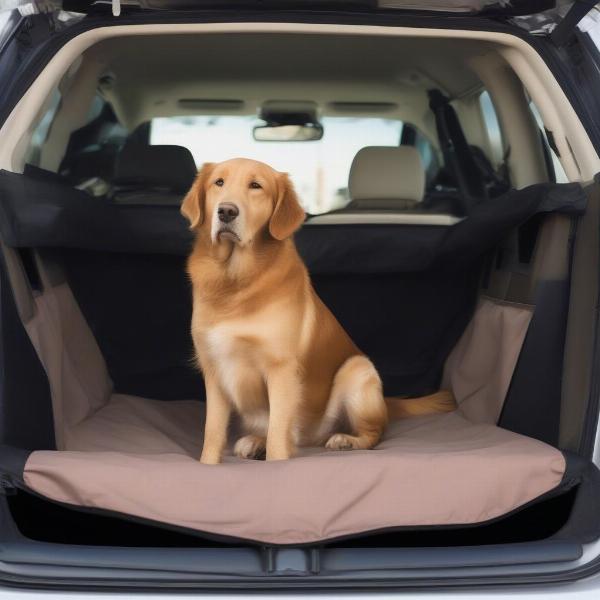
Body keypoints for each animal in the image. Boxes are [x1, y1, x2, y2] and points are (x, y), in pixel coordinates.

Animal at [182, 159, 454, 464]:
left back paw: (345, 440)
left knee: (373, 434)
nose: (227, 211)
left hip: (357, 370)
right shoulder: (214, 369)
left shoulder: (281, 370)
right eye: (218, 182)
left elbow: (278, 434)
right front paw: (208, 464)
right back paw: (254, 442)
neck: (234, 280)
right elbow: (213, 433)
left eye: (256, 186)